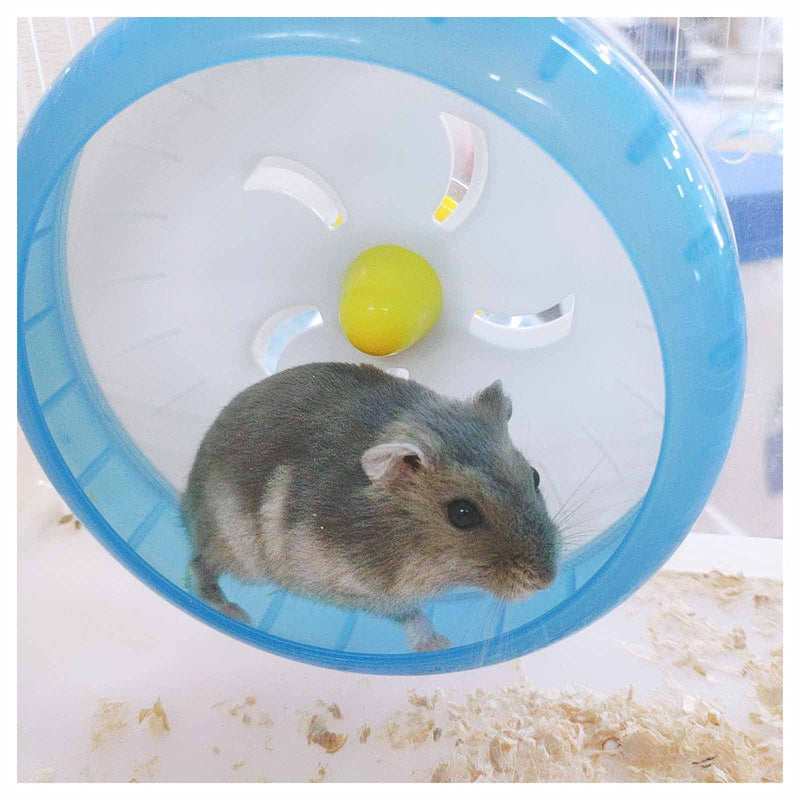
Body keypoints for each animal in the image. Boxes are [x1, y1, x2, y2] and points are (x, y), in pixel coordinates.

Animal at [181, 362, 560, 651]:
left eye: (535, 476)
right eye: (463, 514)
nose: (547, 581)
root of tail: (186, 501)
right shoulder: (349, 589)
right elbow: (410, 613)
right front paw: (440, 645)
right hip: (237, 550)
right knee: (197, 566)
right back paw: (235, 613)